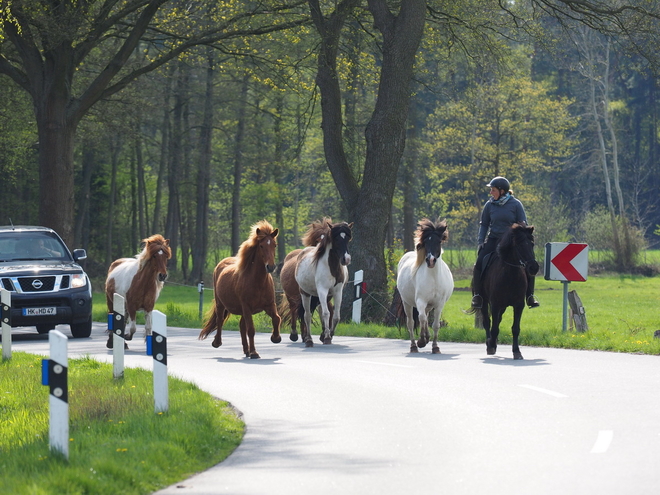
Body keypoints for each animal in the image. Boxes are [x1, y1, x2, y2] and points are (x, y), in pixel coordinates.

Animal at [199, 222, 282, 360]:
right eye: (261, 245)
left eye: (274, 245)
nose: (270, 267)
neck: (258, 282)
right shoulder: (247, 307)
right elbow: (251, 330)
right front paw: (254, 353)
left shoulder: (270, 305)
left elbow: (276, 318)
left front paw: (276, 338)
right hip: (221, 304)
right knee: (220, 321)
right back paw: (217, 342)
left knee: (241, 326)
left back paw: (246, 350)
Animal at [394, 220, 456, 352]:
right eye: (426, 241)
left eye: (439, 241)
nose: (430, 260)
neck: (433, 278)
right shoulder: (420, 301)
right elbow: (421, 318)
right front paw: (421, 341)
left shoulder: (439, 304)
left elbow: (435, 325)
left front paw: (435, 347)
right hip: (407, 303)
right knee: (411, 323)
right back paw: (413, 346)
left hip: (429, 305)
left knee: (426, 318)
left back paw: (427, 338)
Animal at [476, 225, 540, 360]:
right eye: (519, 245)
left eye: (532, 244)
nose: (534, 267)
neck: (510, 275)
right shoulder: (495, 305)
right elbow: (494, 328)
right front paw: (491, 345)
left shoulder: (519, 305)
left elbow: (515, 329)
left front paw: (517, 352)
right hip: (484, 302)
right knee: (487, 322)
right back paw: (490, 343)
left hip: (504, 306)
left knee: (498, 320)